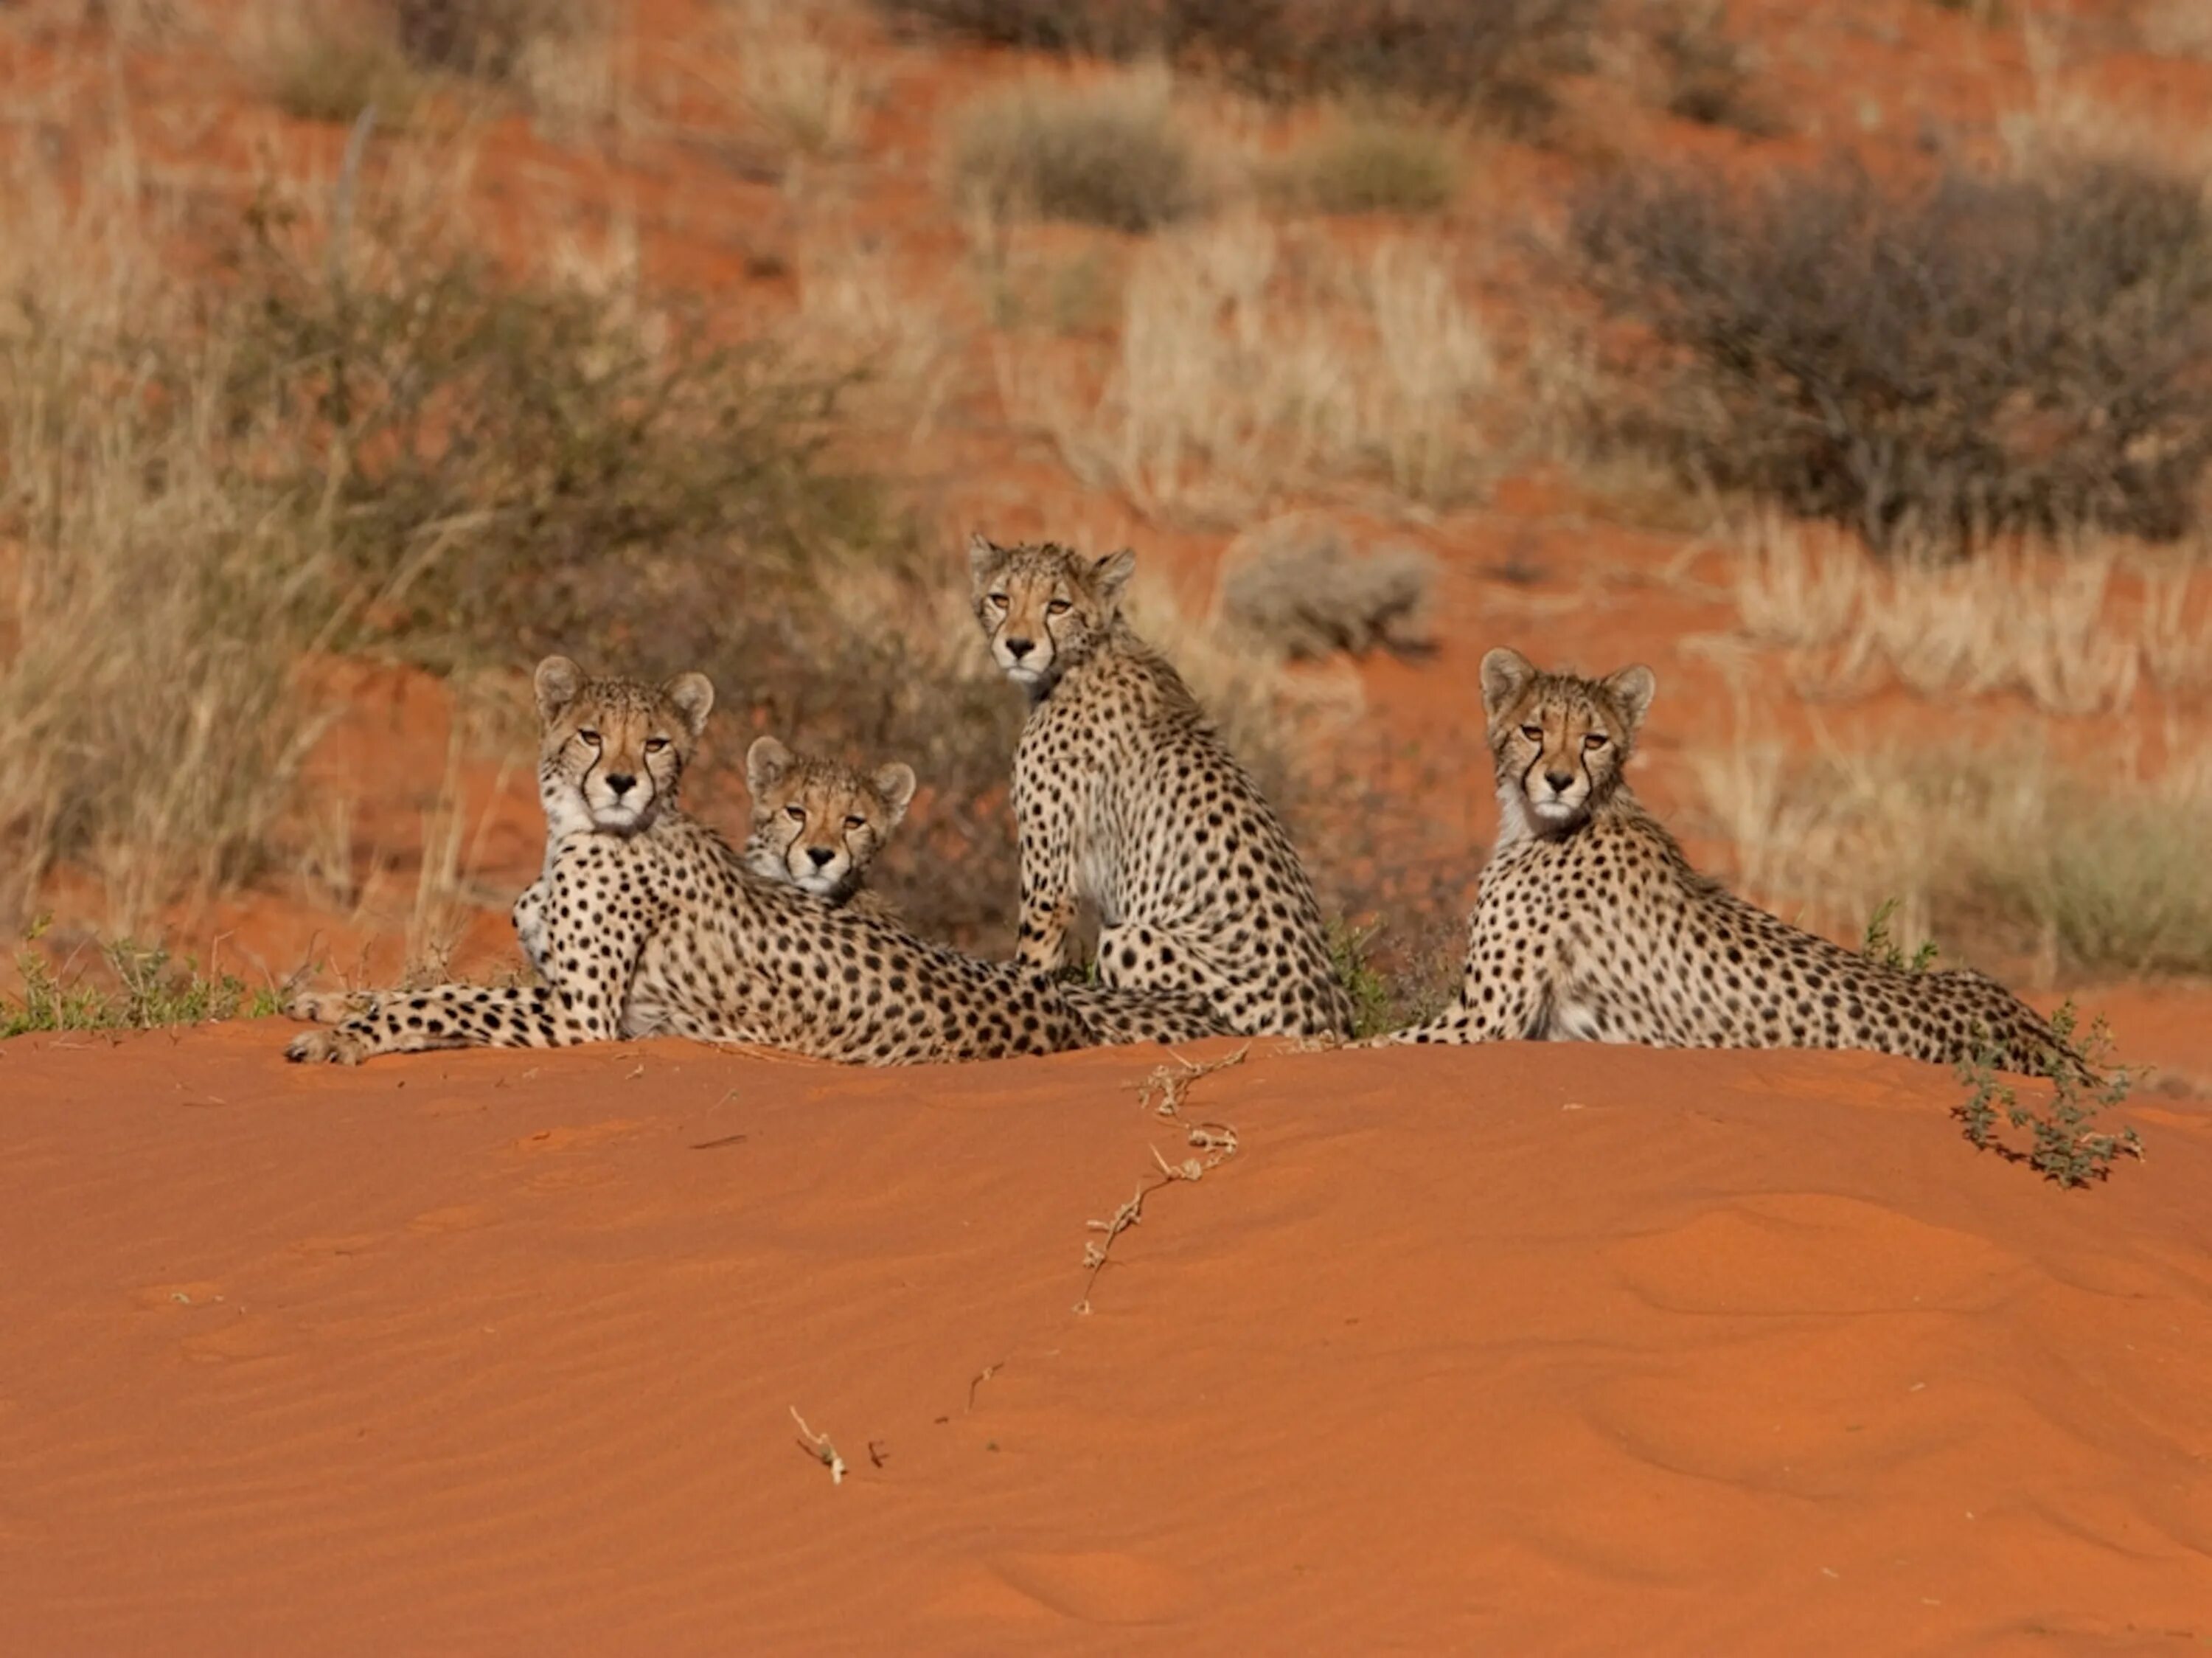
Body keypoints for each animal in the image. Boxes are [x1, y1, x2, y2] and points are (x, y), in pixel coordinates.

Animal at [973, 538, 1354, 1036]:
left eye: (1058, 606)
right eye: (1000, 599)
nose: (1018, 646)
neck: (1082, 660)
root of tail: (1330, 1024)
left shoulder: (1049, 882)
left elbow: (1034, 958)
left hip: (1130, 939)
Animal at [1389, 646, 2062, 1075]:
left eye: (1594, 740)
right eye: (1533, 731)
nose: (1558, 780)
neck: (1559, 820)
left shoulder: (1484, 1021)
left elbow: (1369, 1046)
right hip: (1974, 975)